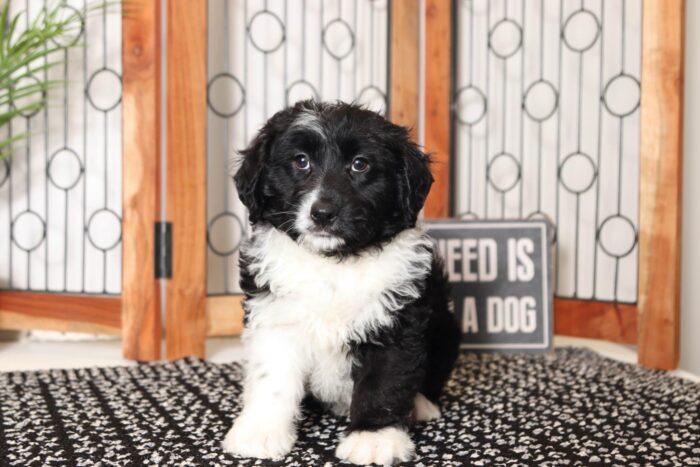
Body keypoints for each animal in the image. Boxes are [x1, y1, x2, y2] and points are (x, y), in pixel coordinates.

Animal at [224, 100, 462, 466]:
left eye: (360, 164)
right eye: (300, 161)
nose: (323, 213)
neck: (334, 263)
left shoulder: (396, 320)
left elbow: (384, 381)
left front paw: (374, 438)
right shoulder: (276, 315)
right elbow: (271, 376)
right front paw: (261, 432)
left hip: (447, 327)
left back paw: (421, 405)